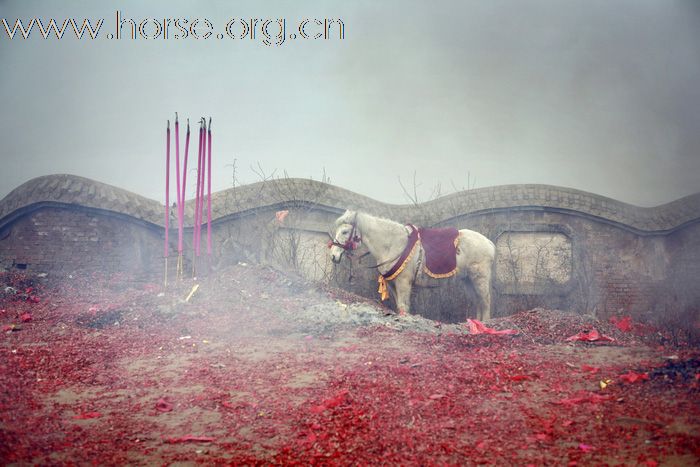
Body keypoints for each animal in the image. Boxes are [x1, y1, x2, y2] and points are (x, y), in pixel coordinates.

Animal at [330, 211, 494, 322]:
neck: (393, 244)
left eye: (345, 231)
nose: (333, 256)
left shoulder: (404, 283)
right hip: (468, 280)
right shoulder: (393, 285)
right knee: (478, 301)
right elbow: (400, 307)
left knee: (485, 301)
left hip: (479, 278)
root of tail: (489, 243)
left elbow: (404, 307)